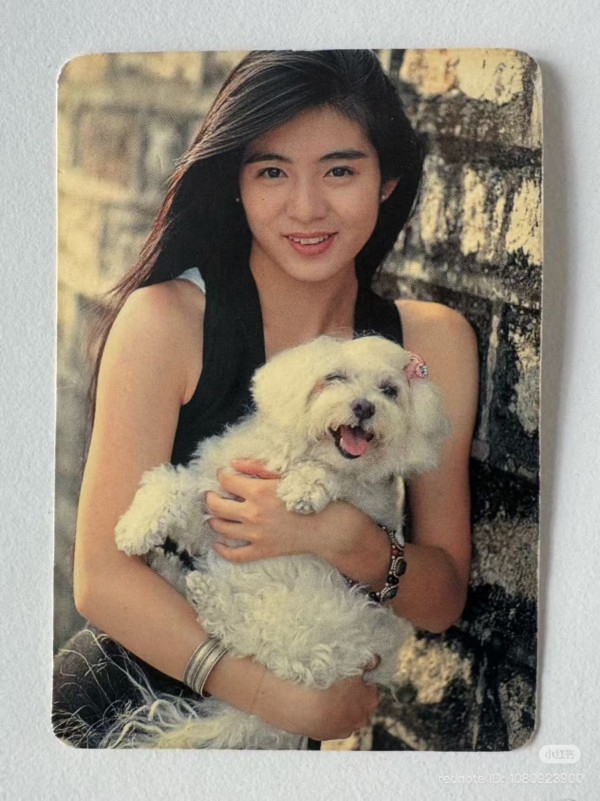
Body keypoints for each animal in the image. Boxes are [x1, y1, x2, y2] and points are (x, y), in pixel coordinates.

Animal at [113, 335, 449, 749]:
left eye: (389, 390)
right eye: (334, 377)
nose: (364, 406)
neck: (298, 455)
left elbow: (329, 478)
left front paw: (306, 487)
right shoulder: (214, 513)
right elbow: (170, 485)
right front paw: (135, 527)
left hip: (318, 617)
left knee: (254, 639)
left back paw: (208, 595)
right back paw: (169, 571)